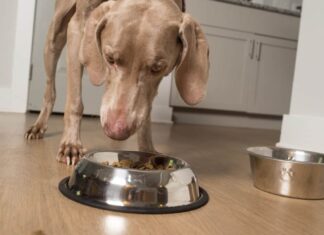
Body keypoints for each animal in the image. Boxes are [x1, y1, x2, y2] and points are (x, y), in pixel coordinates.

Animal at [24, 0, 209, 165]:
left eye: (157, 68)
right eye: (110, 58)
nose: (116, 131)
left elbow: (145, 109)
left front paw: (147, 149)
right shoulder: (77, 26)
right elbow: (74, 102)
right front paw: (71, 144)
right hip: (55, 33)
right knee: (50, 88)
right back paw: (38, 126)